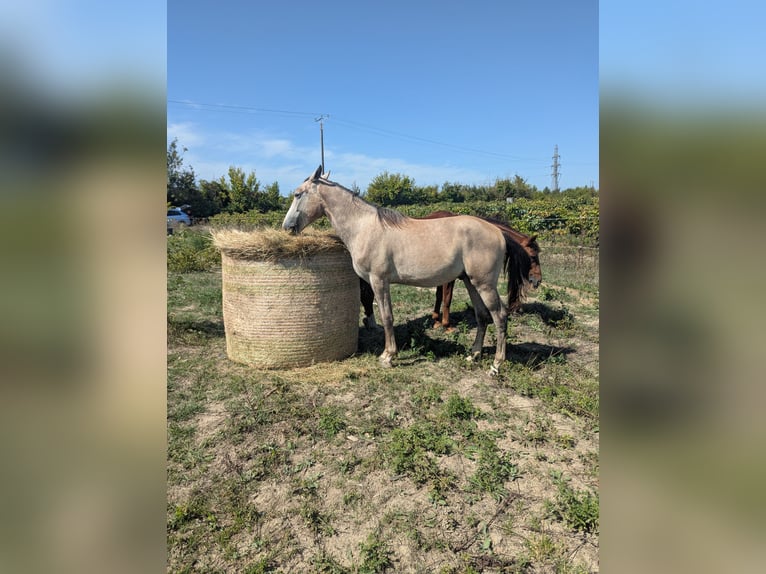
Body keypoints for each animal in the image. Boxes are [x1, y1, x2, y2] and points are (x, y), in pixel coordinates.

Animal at [360, 211, 542, 331]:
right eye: (533, 256)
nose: (537, 280)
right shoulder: (449, 279)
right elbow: (447, 298)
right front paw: (446, 325)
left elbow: (440, 296)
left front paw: (436, 319)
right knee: (367, 297)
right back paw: (371, 323)